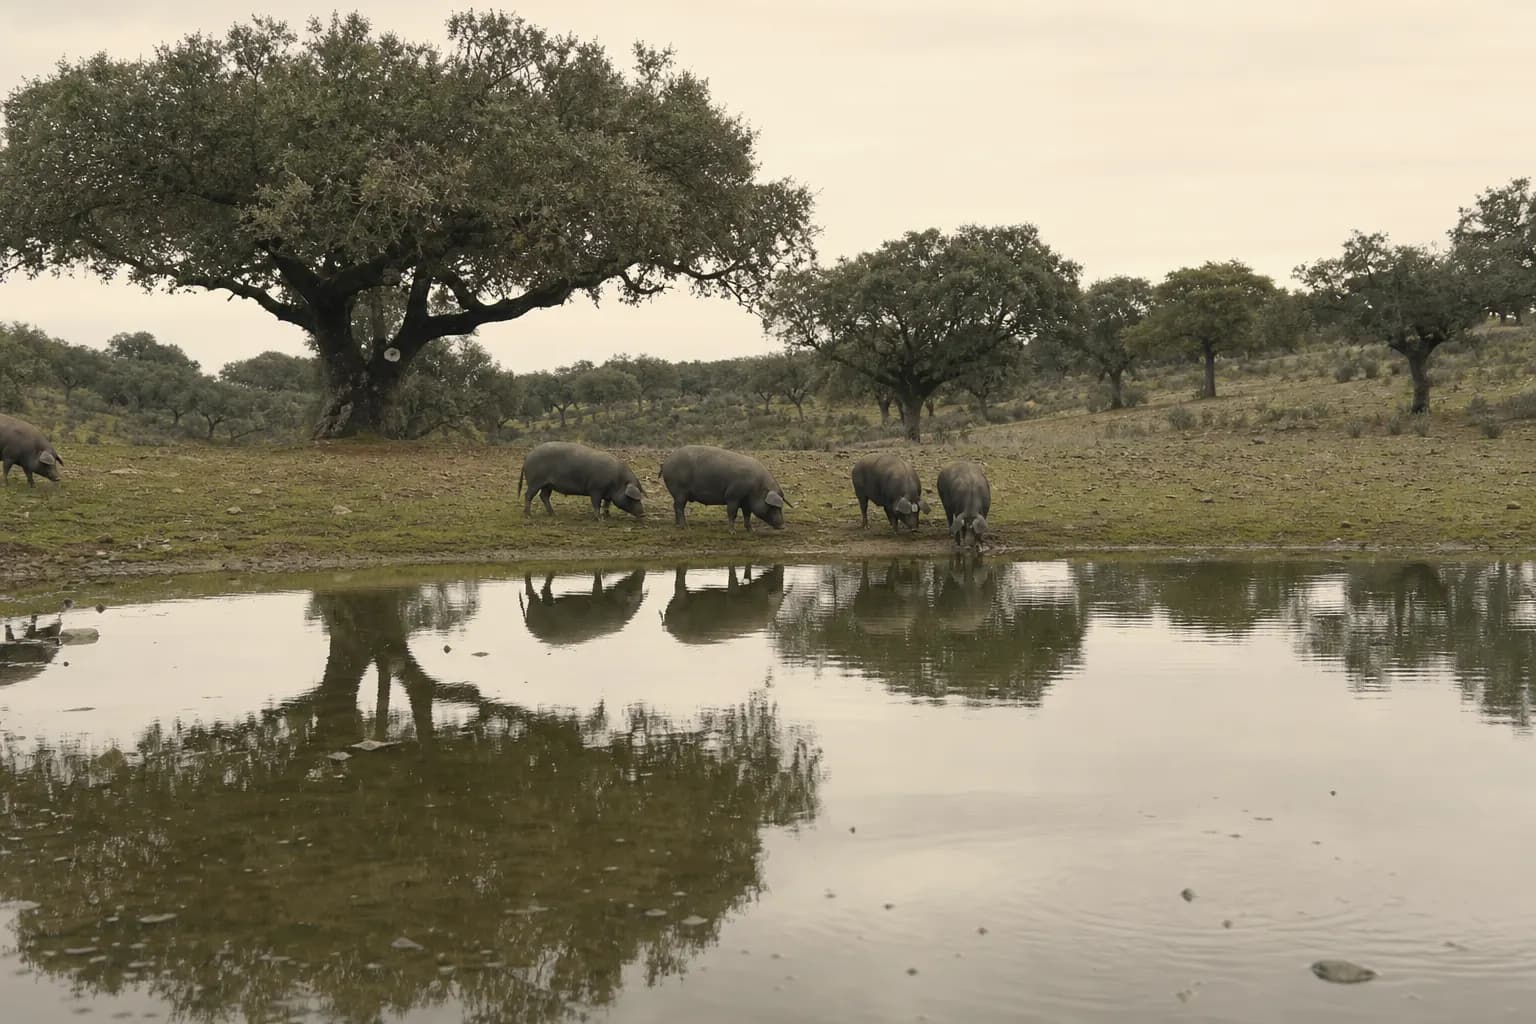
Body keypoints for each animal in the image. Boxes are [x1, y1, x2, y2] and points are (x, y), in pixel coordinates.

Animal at [516, 441, 645, 519]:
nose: (643, 513)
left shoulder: (607, 494)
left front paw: (608, 516)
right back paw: (528, 515)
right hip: (535, 481)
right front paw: (600, 519)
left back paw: (554, 514)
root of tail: (527, 457)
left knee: (543, 496)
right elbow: (596, 503)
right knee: (528, 495)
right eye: (633, 498)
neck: (617, 482)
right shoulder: (595, 489)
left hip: (548, 484)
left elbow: (606, 504)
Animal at [660, 445, 790, 530]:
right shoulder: (732, 496)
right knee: (679, 507)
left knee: (675, 506)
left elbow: (747, 515)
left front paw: (751, 531)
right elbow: (732, 513)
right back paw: (684, 527)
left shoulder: (746, 502)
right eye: (773, 507)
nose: (783, 526)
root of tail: (665, 462)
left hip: (678, 494)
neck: (756, 487)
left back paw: (677, 525)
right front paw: (732, 532)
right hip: (679, 491)